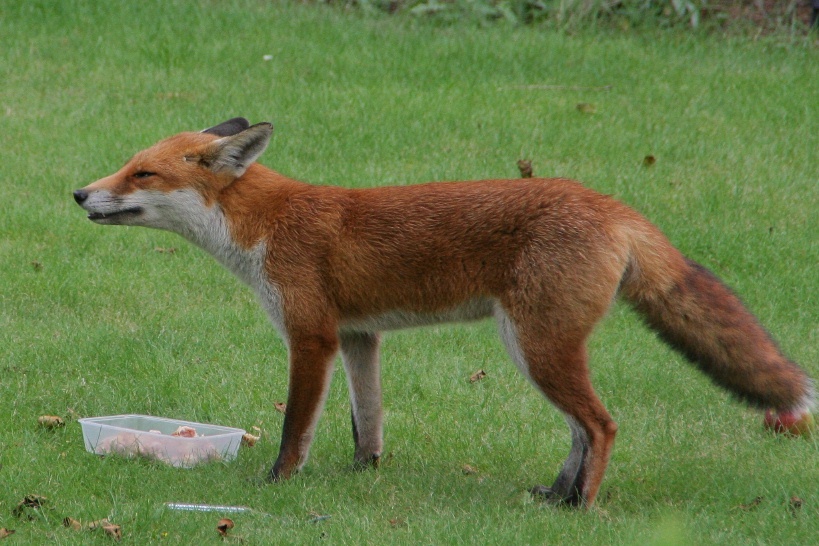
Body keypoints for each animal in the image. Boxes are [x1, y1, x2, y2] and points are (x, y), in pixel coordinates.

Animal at [74, 118, 814, 508]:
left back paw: (580, 507)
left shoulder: (311, 336)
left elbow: (294, 429)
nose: (79, 193)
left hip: (534, 346)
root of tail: (613, 206)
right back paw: (555, 495)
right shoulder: (359, 336)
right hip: (537, 347)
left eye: (142, 173)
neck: (266, 227)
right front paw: (362, 475)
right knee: (580, 429)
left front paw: (277, 484)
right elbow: (367, 421)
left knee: (600, 425)